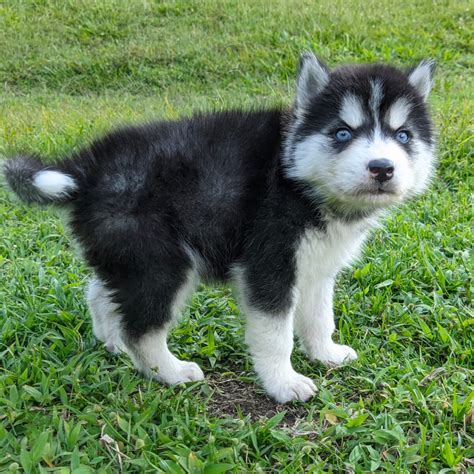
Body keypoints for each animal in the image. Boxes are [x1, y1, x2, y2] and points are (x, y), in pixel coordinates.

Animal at [2, 53, 436, 402]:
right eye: (343, 133)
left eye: (403, 136)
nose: (382, 168)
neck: (297, 178)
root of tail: (86, 168)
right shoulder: (269, 265)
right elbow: (276, 335)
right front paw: (284, 383)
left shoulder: (315, 268)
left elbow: (318, 317)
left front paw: (325, 353)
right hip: (162, 264)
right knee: (141, 328)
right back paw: (169, 371)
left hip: (129, 255)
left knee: (100, 294)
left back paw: (113, 344)